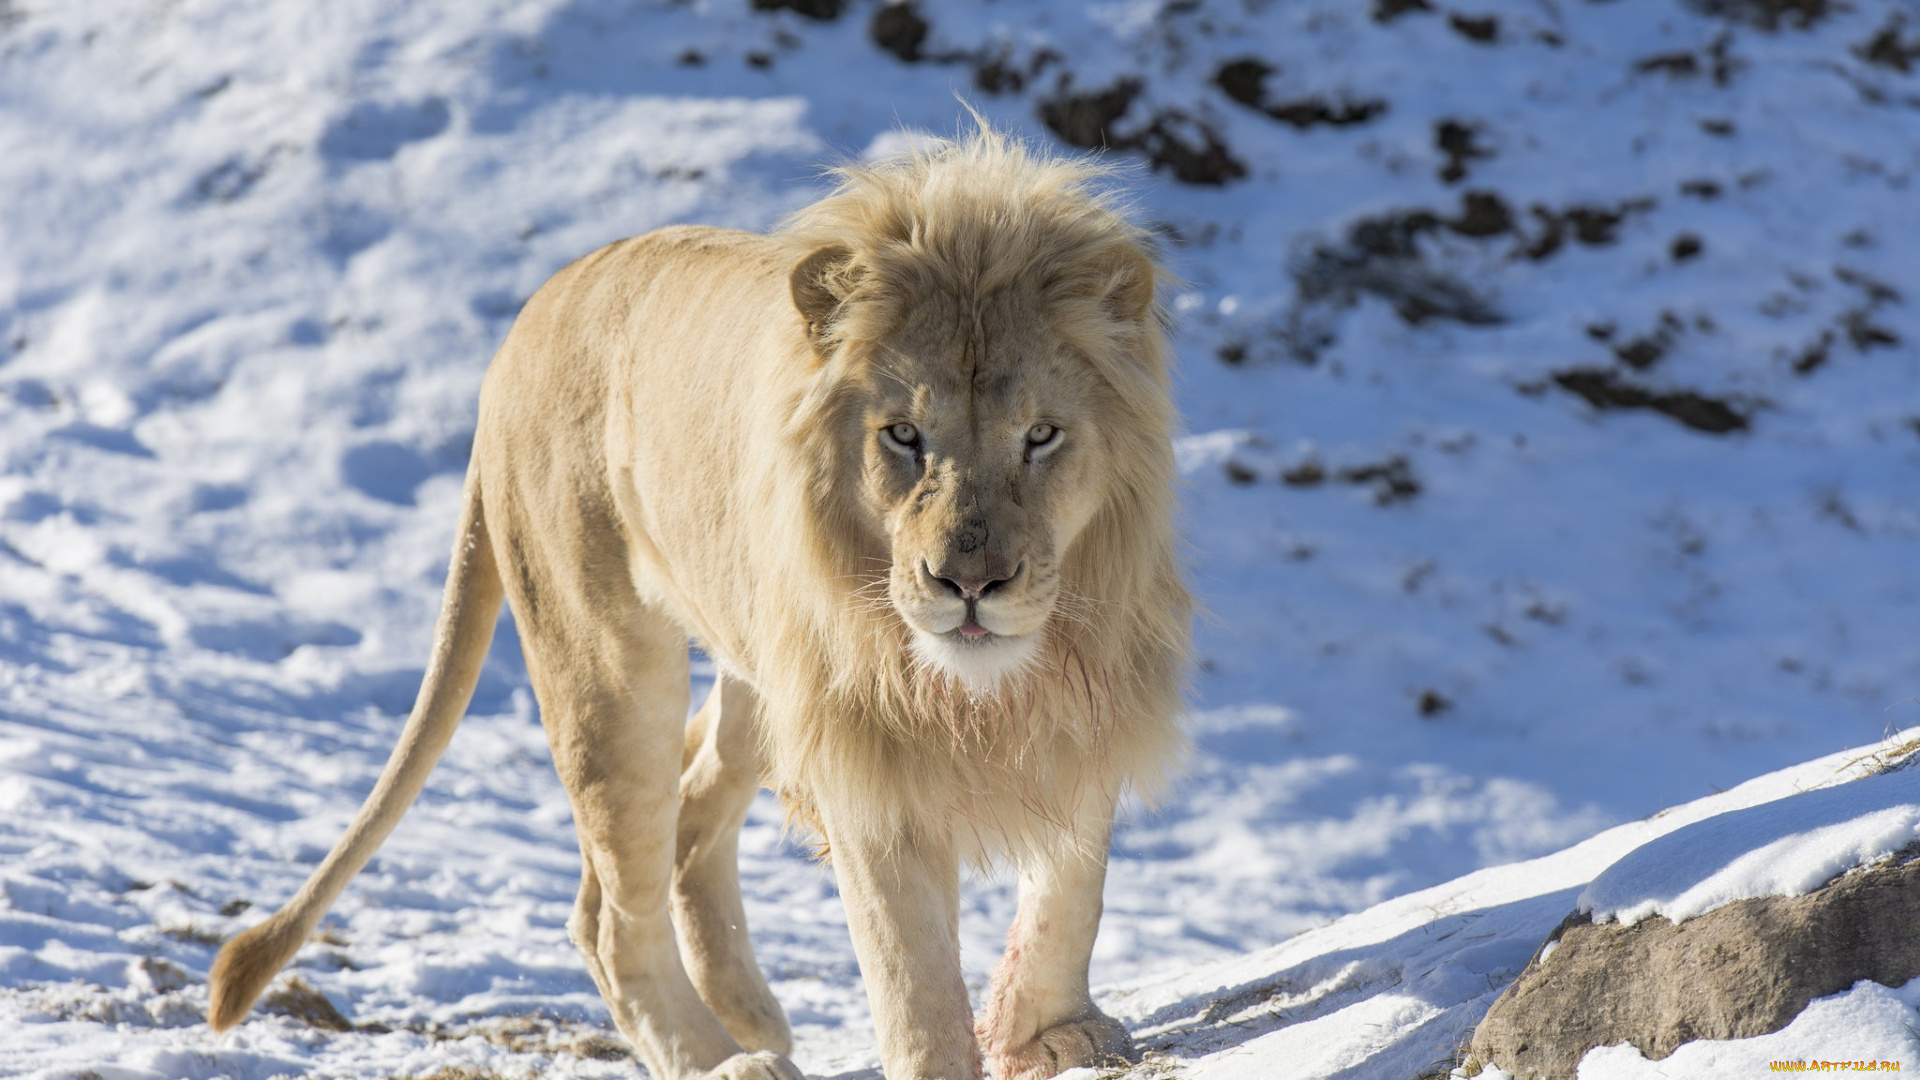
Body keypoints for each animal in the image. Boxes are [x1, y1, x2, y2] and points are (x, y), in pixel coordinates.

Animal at [202, 127, 1182, 1076]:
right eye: (904, 435)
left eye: (1041, 435)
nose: (970, 584)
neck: (992, 682)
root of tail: (521, 329)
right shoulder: (864, 754)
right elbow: (911, 970)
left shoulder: (1090, 700)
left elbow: (1073, 884)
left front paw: (1049, 1031)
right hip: (605, 666)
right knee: (612, 911)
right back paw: (729, 1061)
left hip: (755, 673)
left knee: (689, 814)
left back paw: (750, 1014)